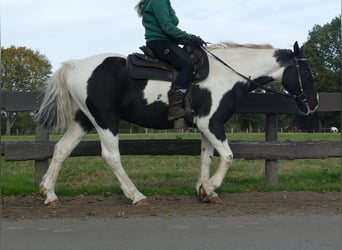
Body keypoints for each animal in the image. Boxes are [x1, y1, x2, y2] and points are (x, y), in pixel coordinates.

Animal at [36, 41, 320, 206]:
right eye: (306, 71)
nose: (313, 104)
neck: (227, 75)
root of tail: (75, 66)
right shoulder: (211, 123)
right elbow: (228, 156)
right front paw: (210, 187)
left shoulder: (206, 127)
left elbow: (206, 157)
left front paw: (205, 191)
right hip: (106, 120)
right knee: (111, 156)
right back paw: (136, 195)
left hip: (84, 120)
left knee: (61, 150)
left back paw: (49, 194)